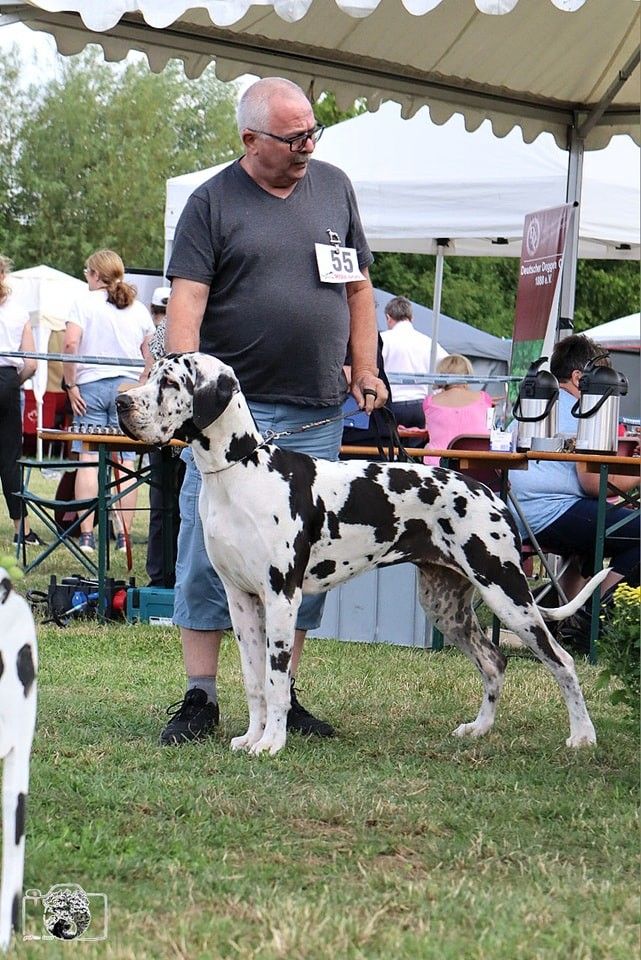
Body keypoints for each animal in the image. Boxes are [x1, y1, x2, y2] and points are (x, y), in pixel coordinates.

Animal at [116, 353, 607, 757]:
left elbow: (276, 682)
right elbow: (254, 681)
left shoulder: (281, 598)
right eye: (152, 376)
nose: (122, 402)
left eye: (169, 382)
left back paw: (583, 736)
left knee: (561, 662)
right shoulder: (241, 600)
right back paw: (479, 729)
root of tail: (489, 492)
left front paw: (272, 743)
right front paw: (252, 737)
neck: (241, 472)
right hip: (447, 606)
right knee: (494, 661)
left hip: (508, 594)